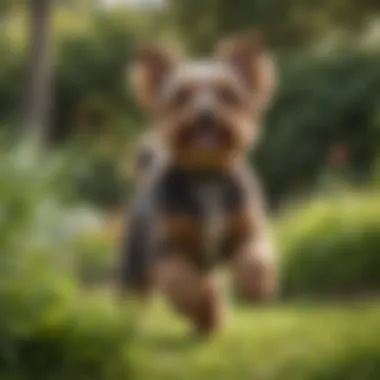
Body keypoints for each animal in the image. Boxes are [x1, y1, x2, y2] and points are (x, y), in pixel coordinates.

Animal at [119, 31, 280, 334]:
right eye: (181, 97)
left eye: (227, 95)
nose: (205, 114)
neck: (206, 175)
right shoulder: (168, 248)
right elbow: (183, 281)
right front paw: (199, 303)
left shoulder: (244, 228)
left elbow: (254, 254)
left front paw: (256, 285)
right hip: (133, 261)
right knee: (132, 293)